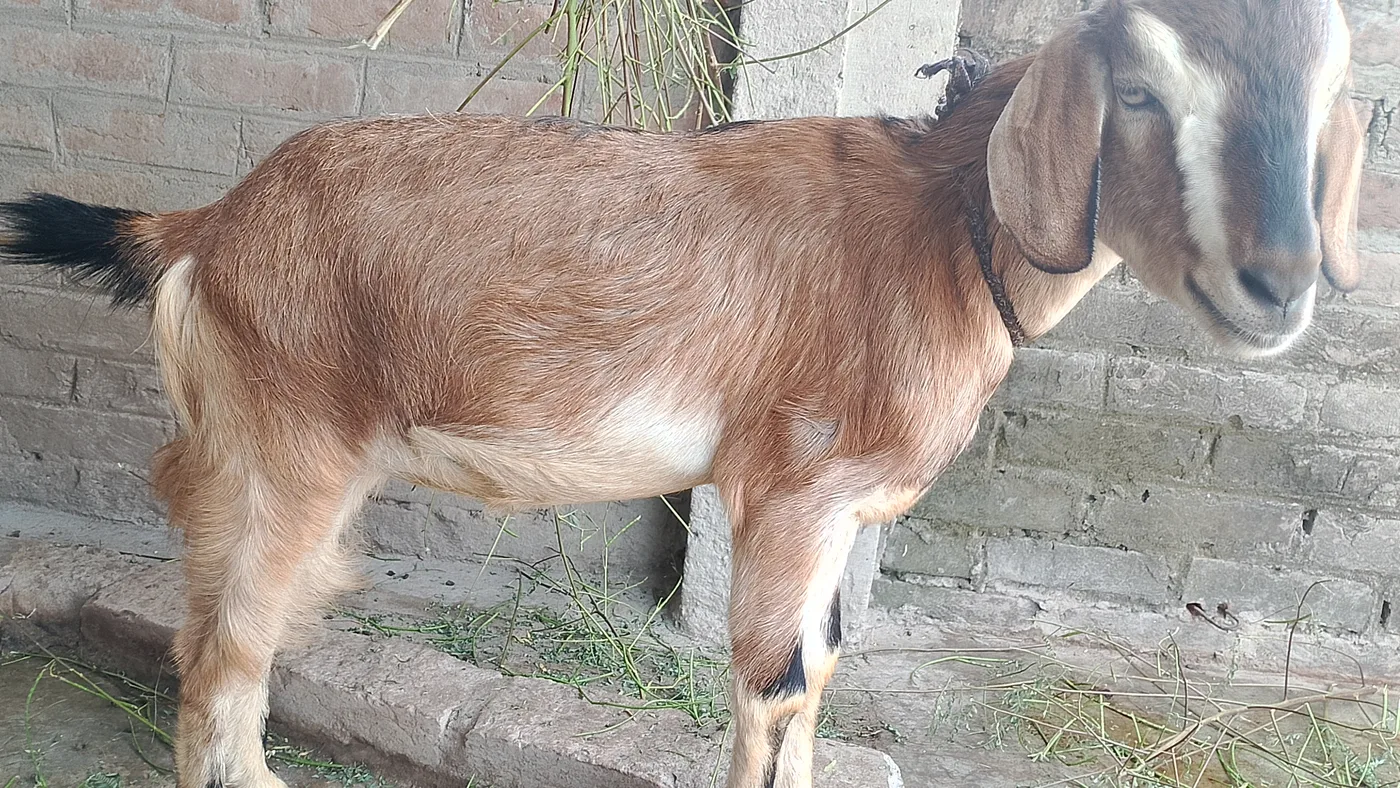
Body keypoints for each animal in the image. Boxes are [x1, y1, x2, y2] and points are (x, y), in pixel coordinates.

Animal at [0, 0, 1367, 786]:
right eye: (1139, 90)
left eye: (1317, 93)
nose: (1277, 281)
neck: (939, 227)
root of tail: (205, 225)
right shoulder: (792, 489)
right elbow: (773, 683)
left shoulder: (833, 517)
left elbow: (815, 678)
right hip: (288, 451)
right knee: (226, 642)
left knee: (229, 627)